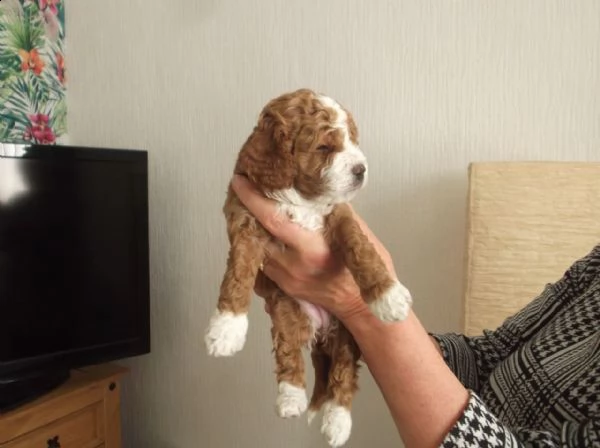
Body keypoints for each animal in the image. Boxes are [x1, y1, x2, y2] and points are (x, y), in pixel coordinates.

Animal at [204, 89, 410, 446]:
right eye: (324, 147)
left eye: (353, 140)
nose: (361, 169)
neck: (303, 199)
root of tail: (322, 331)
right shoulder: (245, 222)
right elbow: (238, 273)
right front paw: (226, 328)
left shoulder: (341, 214)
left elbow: (359, 246)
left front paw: (388, 296)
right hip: (286, 311)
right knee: (289, 353)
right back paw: (291, 399)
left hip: (348, 332)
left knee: (343, 374)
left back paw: (337, 422)